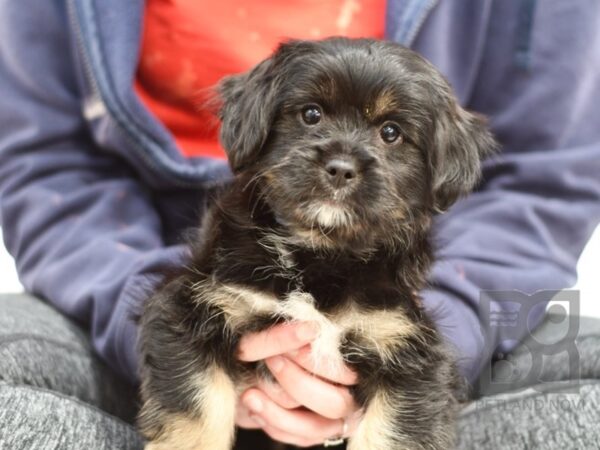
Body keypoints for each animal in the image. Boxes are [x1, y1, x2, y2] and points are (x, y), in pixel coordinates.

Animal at [138, 38, 494, 450]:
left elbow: (390, 433)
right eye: (311, 114)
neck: (320, 256)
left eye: (391, 132)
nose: (340, 168)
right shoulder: (189, 309)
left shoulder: (406, 349)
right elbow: (196, 411)